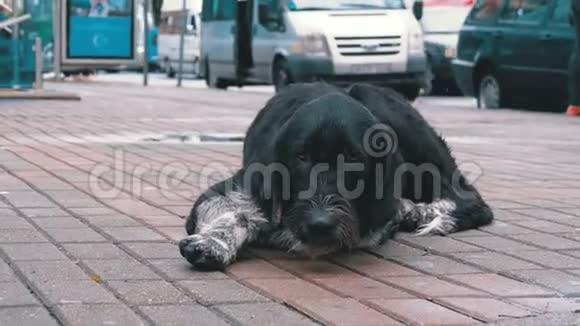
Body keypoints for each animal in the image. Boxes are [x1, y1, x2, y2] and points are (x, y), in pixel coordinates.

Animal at [178, 83, 494, 270]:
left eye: (353, 158)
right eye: (301, 157)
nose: (320, 222)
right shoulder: (233, 189)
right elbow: (236, 212)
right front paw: (214, 242)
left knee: (471, 199)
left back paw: (424, 211)